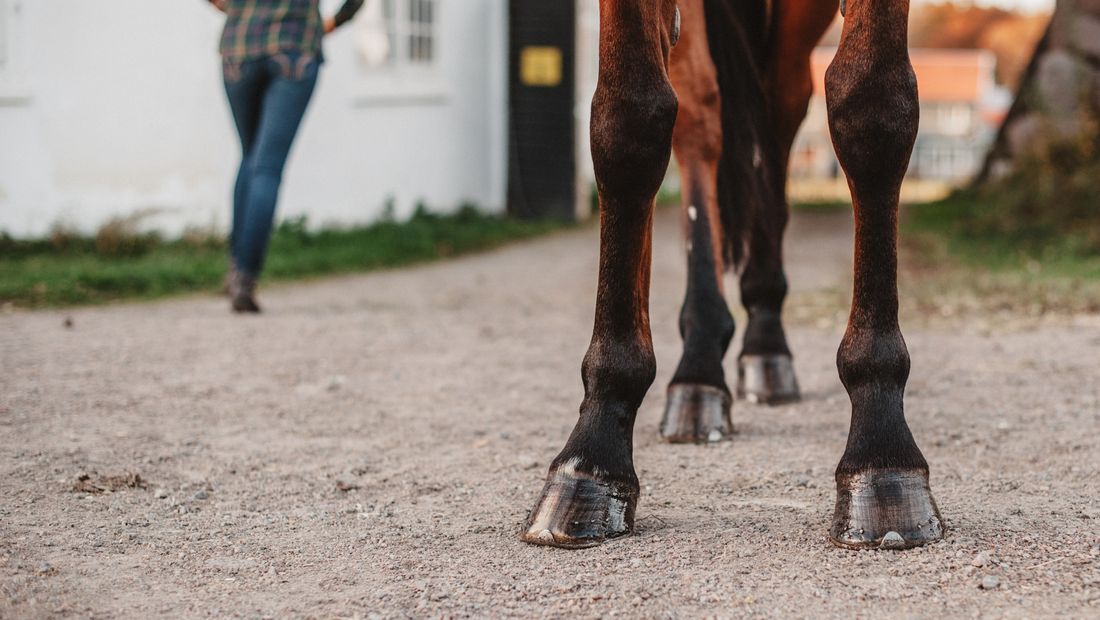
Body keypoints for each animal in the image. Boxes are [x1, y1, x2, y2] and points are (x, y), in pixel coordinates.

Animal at [520, 0, 945, 550]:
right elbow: (628, 120)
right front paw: (593, 451)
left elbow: (872, 103)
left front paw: (882, 448)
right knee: (701, 119)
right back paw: (699, 370)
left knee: (781, 105)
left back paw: (765, 342)